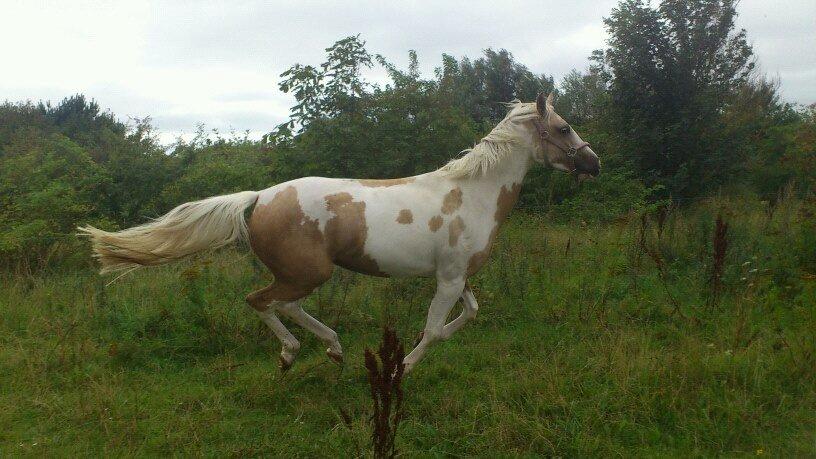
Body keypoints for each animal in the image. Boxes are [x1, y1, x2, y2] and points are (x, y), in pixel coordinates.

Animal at [79, 93, 600, 374]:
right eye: (563, 128)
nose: (594, 163)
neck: (470, 195)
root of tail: (259, 197)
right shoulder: (448, 278)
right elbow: (433, 330)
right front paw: (402, 367)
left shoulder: (459, 277)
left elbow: (467, 316)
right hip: (308, 272)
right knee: (263, 301)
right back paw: (296, 353)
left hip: (304, 274)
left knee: (281, 305)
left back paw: (329, 349)